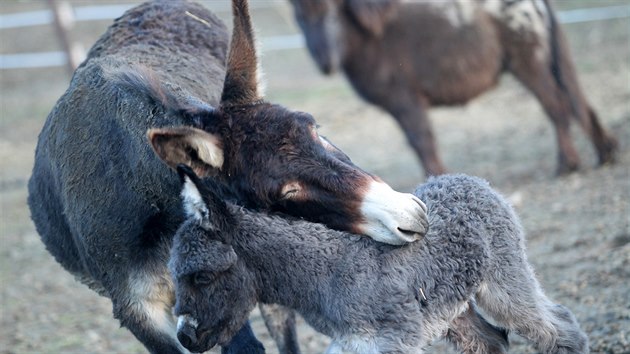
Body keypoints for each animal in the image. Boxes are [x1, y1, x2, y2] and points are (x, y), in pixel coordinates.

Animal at [170, 167, 592, 354]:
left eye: (202, 277)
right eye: (173, 277)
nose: (185, 338)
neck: (325, 272)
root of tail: (465, 179)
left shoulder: (385, 342)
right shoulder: (353, 343)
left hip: (502, 284)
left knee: (556, 327)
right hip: (453, 312)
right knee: (490, 342)